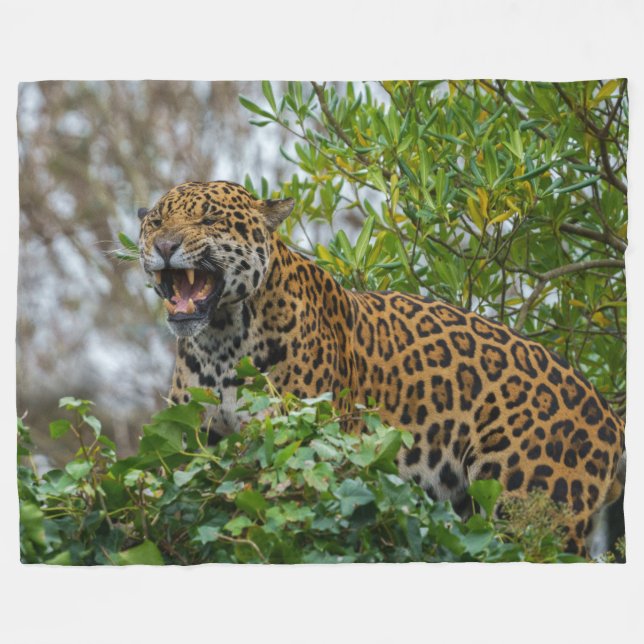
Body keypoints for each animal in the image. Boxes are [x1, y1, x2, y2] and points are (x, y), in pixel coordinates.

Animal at [138, 180, 626, 558]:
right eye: (156, 222)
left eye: (209, 220)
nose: (165, 246)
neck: (222, 340)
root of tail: (611, 416)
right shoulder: (191, 438)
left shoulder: (307, 445)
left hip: (529, 505)